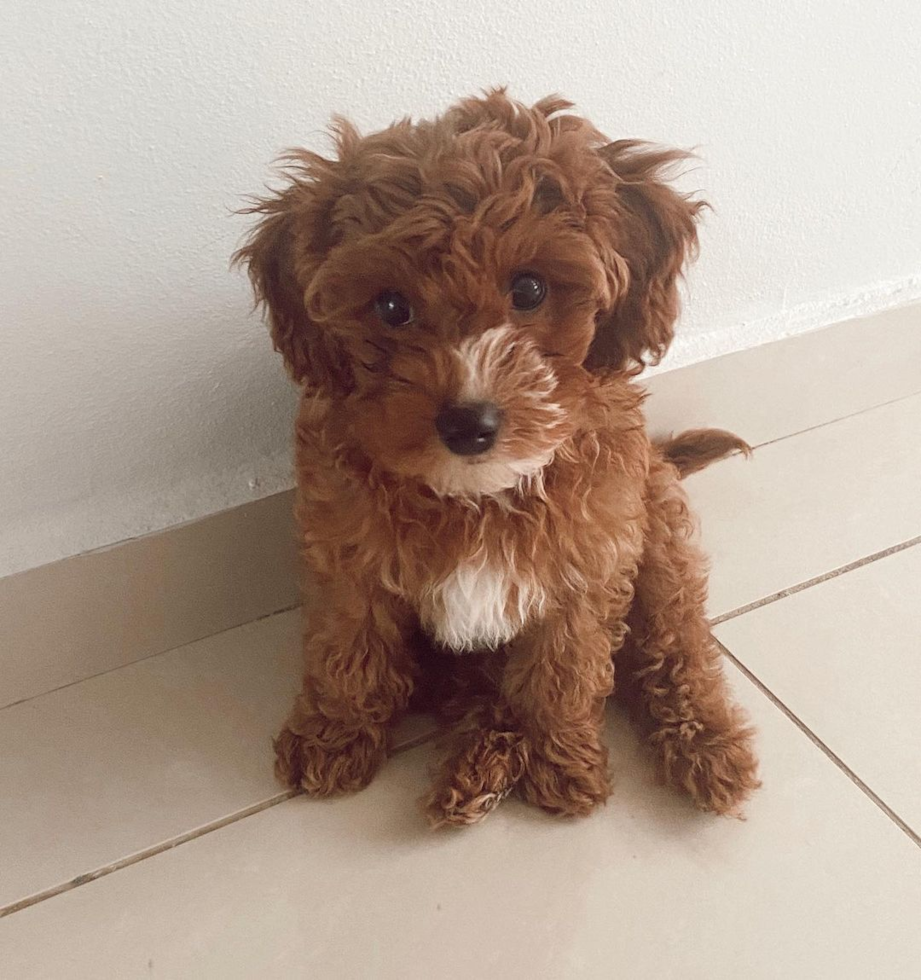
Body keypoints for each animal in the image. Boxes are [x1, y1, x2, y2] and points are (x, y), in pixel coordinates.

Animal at [234, 90, 760, 828]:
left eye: (531, 290)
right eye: (390, 306)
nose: (468, 423)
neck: (476, 494)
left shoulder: (586, 568)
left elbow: (564, 672)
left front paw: (564, 760)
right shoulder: (348, 557)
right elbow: (349, 650)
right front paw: (332, 737)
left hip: (658, 547)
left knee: (675, 644)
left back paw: (707, 747)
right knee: (483, 692)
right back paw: (476, 771)